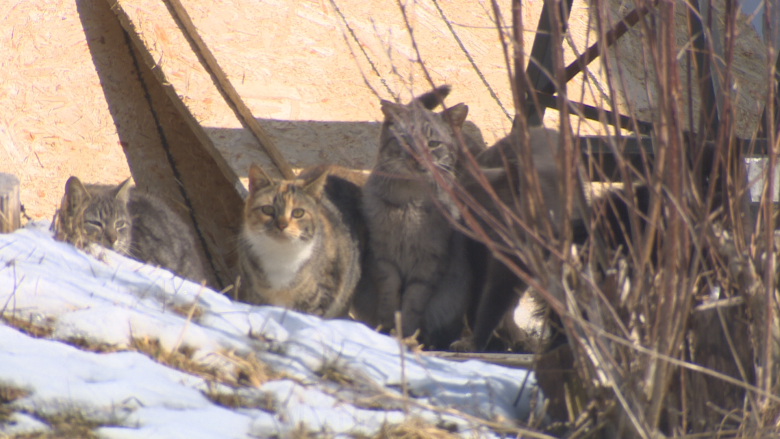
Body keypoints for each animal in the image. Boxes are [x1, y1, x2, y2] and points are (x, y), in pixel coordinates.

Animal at [236, 163, 364, 318]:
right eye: (267, 209)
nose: (282, 225)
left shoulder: (319, 299)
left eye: (298, 213)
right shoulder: (255, 294)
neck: (281, 256)